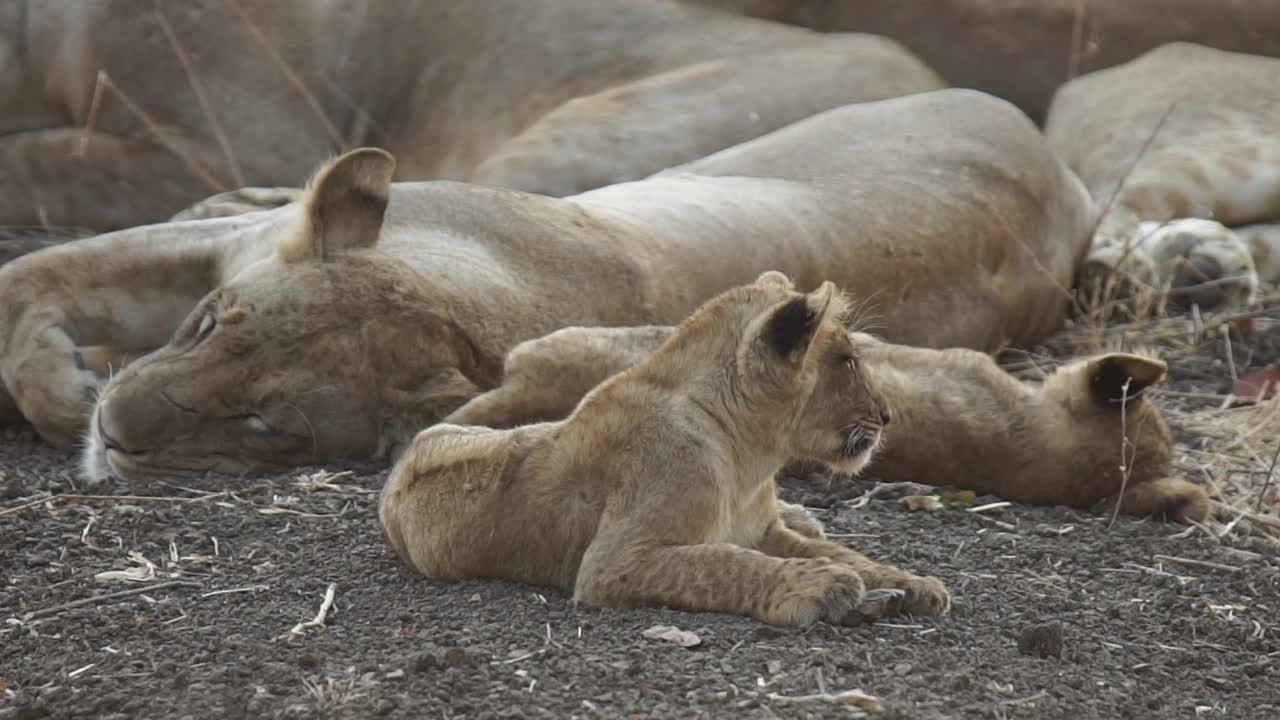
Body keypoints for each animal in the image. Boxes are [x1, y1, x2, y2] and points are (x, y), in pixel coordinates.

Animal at [0, 89, 1095, 481]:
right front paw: (67, 385)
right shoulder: (225, 253)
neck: (456, 303)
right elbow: (32, 274)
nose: (114, 431)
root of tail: (1052, 157)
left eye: (263, 425)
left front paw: (69, 401)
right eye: (204, 326)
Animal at [378, 269, 952, 622]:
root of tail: (407, 454)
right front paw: (821, 586)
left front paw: (911, 582)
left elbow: (845, 552)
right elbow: (724, 563)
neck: (748, 456)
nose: (887, 415)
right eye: (849, 362)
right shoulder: (611, 563)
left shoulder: (765, 529)